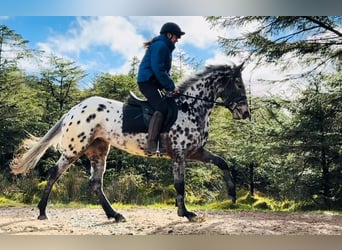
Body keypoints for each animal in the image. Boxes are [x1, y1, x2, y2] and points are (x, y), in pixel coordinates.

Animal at [10, 63, 250, 223]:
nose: (245, 113)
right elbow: (180, 183)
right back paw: (42, 212)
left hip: (98, 151)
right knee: (54, 174)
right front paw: (186, 213)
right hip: (74, 149)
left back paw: (115, 215)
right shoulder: (180, 154)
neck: (190, 106)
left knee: (95, 183)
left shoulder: (196, 152)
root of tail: (72, 110)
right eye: (238, 84)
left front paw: (232, 196)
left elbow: (222, 163)